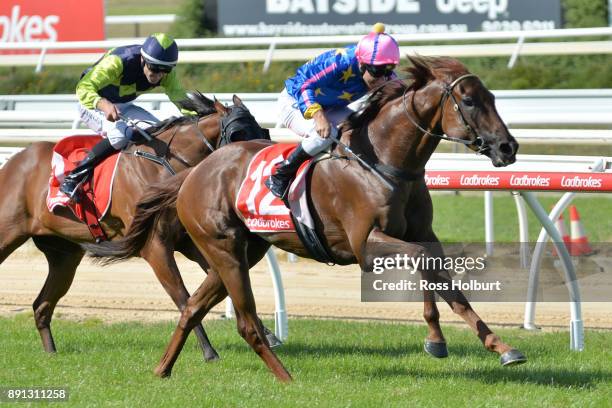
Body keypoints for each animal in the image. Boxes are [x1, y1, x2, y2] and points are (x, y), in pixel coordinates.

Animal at [0, 91, 268, 360]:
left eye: (263, 131)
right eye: (237, 134)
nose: (255, 165)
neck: (162, 166)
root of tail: (15, 160)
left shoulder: (189, 241)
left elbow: (221, 279)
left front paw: (268, 335)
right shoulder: (154, 246)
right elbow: (183, 296)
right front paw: (209, 352)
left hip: (63, 255)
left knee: (41, 305)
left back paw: (51, 352)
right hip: (8, 234)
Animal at [87, 55, 524, 380]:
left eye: (492, 97)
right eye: (469, 102)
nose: (508, 147)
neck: (386, 162)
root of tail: (193, 172)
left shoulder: (423, 233)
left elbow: (447, 282)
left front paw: (500, 347)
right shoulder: (366, 244)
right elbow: (420, 261)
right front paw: (436, 338)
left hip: (242, 252)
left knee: (192, 306)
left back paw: (163, 369)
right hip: (223, 248)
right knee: (244, 321)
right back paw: (285, 379)